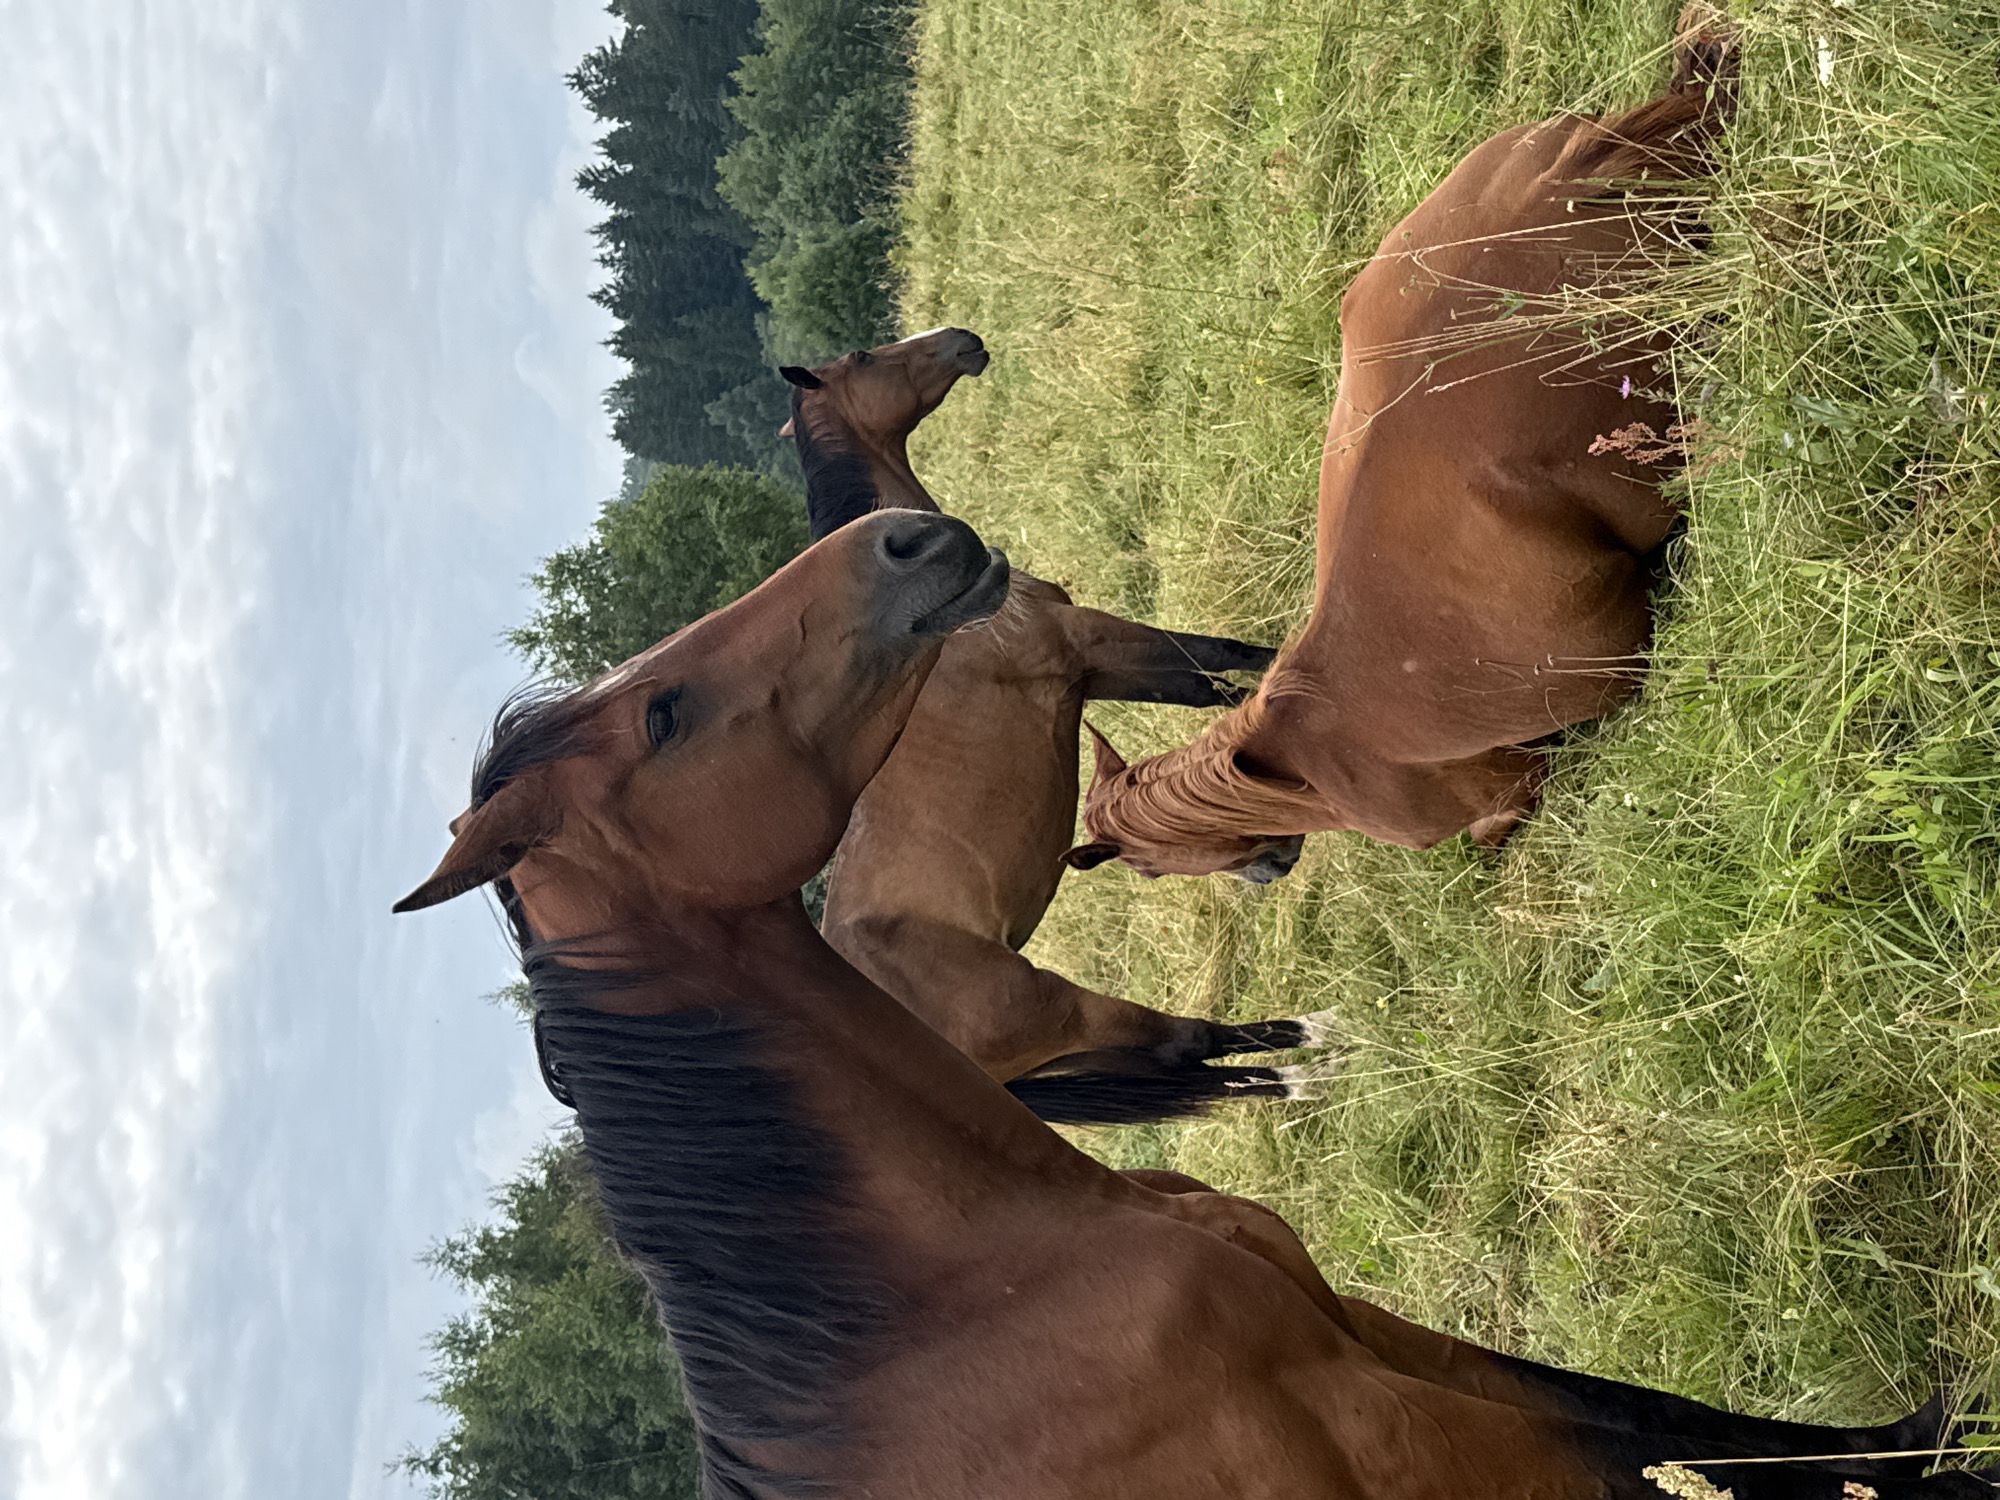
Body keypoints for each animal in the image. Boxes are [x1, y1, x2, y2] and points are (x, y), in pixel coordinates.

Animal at [398, 513, 1985, 1500]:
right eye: (663, 717)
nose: (905, 538)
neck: (973, 1296)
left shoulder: (1368, 1334)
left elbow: (1669, 1420)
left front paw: (1936, 1432)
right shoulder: (1409, 1433)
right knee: (1187, 1045)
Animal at [781, 327, 1336, 1122]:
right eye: (863, 359)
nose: (961, 341)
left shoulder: (1100, 673)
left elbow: (1207, 683)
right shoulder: (1089, 643)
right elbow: (1217, 660)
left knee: (1183, 1060)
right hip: (1066, 1013)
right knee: (1189, 1039)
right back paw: (1313, 1040)